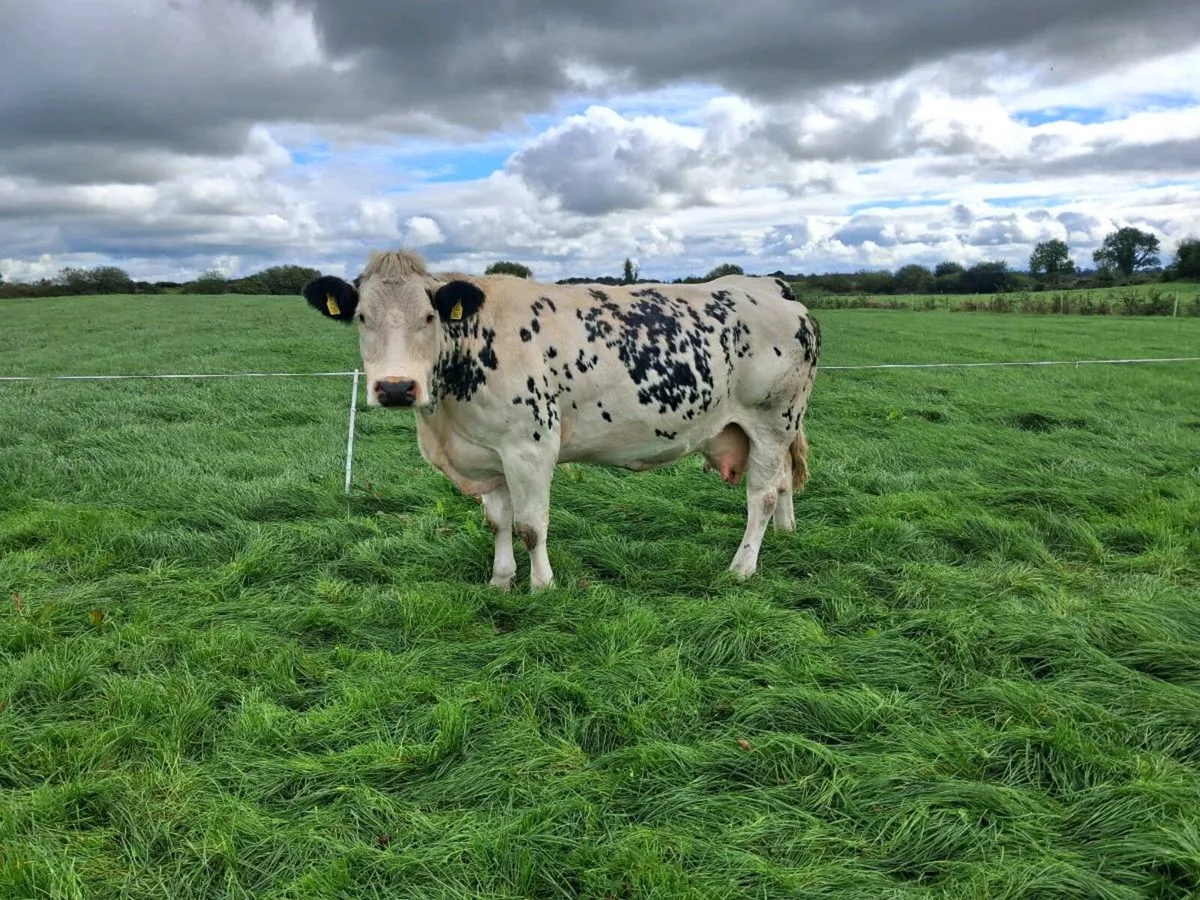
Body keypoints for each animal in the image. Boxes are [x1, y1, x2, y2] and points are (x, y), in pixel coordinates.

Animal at [301, 249, 821, 591]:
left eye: (430, 317)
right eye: (363, 318)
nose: (395, 388)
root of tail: (771, 286)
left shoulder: (529, 448)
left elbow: (531, 525)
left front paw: (542, 586)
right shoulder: (487, 452)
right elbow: (497, 522)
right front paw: (500, 581)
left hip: (772, 419)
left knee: (762, 495)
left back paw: (743, 567)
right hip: (774, 427)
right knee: (782, 484)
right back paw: (786, 534)